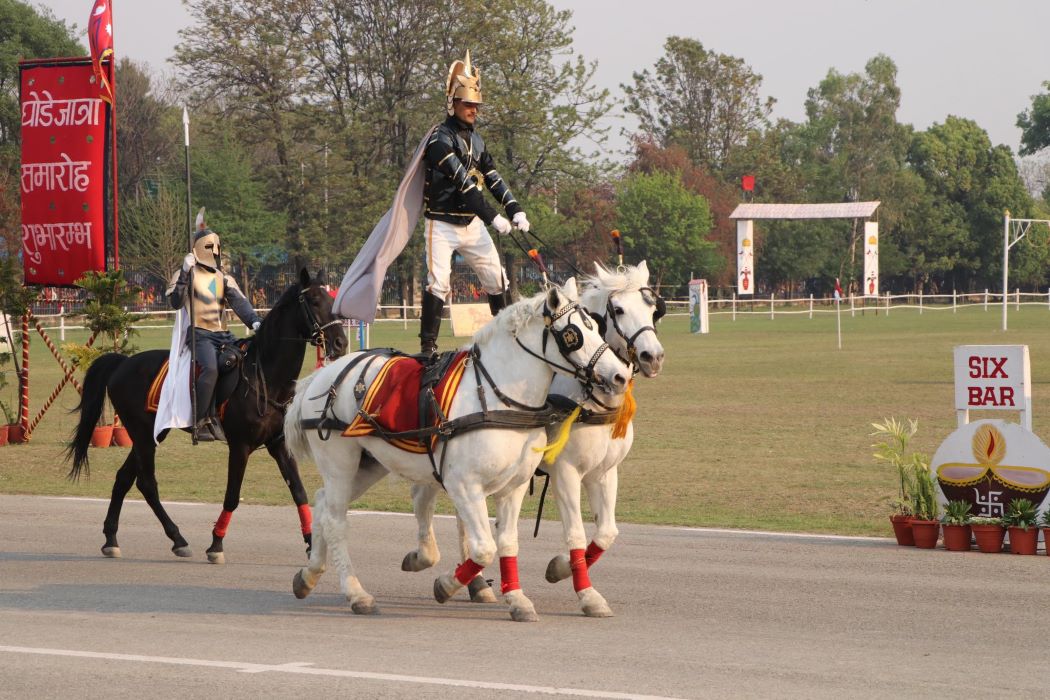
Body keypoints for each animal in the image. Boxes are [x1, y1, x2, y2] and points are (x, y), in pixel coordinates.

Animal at [66, 268, 348, 562]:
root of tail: (123, 363)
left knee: (124, 478)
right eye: (314, 301)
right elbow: (232, 496)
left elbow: (299, 492)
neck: (264, 376)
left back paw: (112, 538)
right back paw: (177, 538)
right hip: (143, 436)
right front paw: (216, 544)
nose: (341, 342)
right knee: (147, 483)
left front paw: (310, 543)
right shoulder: (240, 447)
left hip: (152, 434)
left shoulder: (278, 445)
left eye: (331, 299)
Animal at [283, 281, 625, 621]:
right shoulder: (463, 485)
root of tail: (321, 376)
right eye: (573, 334)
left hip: (370, 465)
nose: (619, 375)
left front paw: (516, 598)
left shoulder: (512, 488)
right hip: (340, 464)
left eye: (596, 326)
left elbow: (507, 542)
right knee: (336, 520)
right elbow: (484, 547)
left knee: (323, 505)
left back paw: (309, 574)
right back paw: (356, 593)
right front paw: (447, 585)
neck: (499, 396)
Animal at [401, 262, 663, 617]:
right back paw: (433, 562)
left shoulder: (604, 473)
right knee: (425, 499)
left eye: (653, 308)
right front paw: (586, 593)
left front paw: (560, 568)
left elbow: (606, 533)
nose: (653, 357)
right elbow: (576, 533)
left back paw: (474, 582)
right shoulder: (566, 472)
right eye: (618, 310)